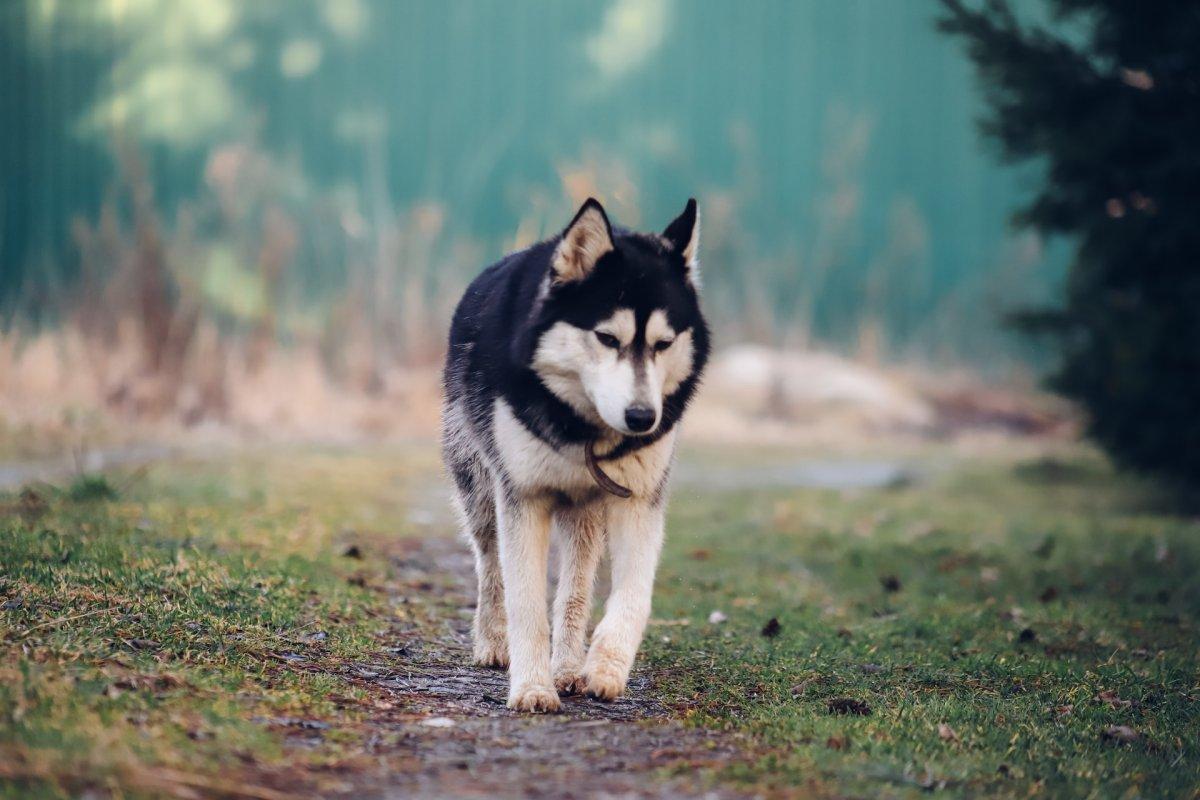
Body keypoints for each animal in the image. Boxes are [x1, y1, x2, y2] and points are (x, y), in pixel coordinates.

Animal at [441, 196, 705, 710]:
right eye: (607, 338)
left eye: (663, 344)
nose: (642, 417)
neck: (584, 430)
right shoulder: (523, 496)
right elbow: (525, 601)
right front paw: (531, 687)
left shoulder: (639, 501)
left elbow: (633, 595)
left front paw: (605, 667)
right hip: (480, 491)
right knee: (489, 565)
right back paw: (493, 643)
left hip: (585, 513)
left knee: (575, 589)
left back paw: (568, 666)